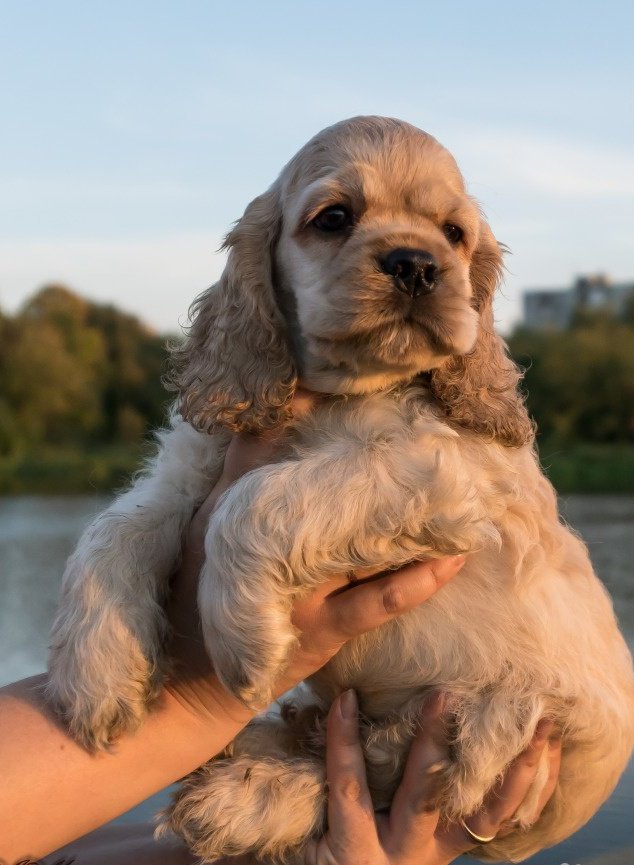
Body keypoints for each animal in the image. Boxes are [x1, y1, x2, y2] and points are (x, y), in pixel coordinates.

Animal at [47, 116, 632, 864]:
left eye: (454, 233)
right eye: (333, 218)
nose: (417, 264)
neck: (345, 388)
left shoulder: (440, 468)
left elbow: (252, 501)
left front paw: (244, 643)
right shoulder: (195, 462)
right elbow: (115, 526)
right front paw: (93, 680)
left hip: (494, 716)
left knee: (374, 762)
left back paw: (246, 796)